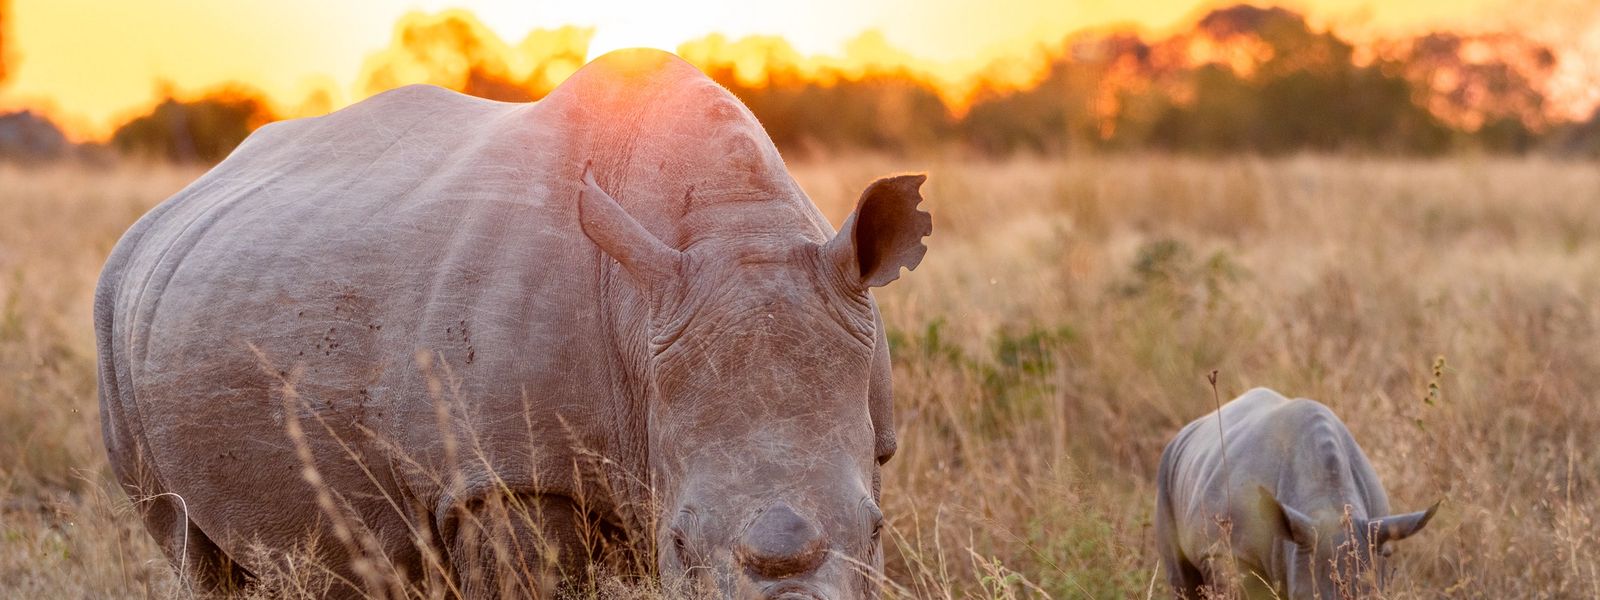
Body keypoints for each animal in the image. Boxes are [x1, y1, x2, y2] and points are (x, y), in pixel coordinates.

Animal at [95, 49, 931, 599]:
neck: (734, 221)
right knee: (186, 546)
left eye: (878, 532)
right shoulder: (502, 476)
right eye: (679, 542)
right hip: (112, 316)